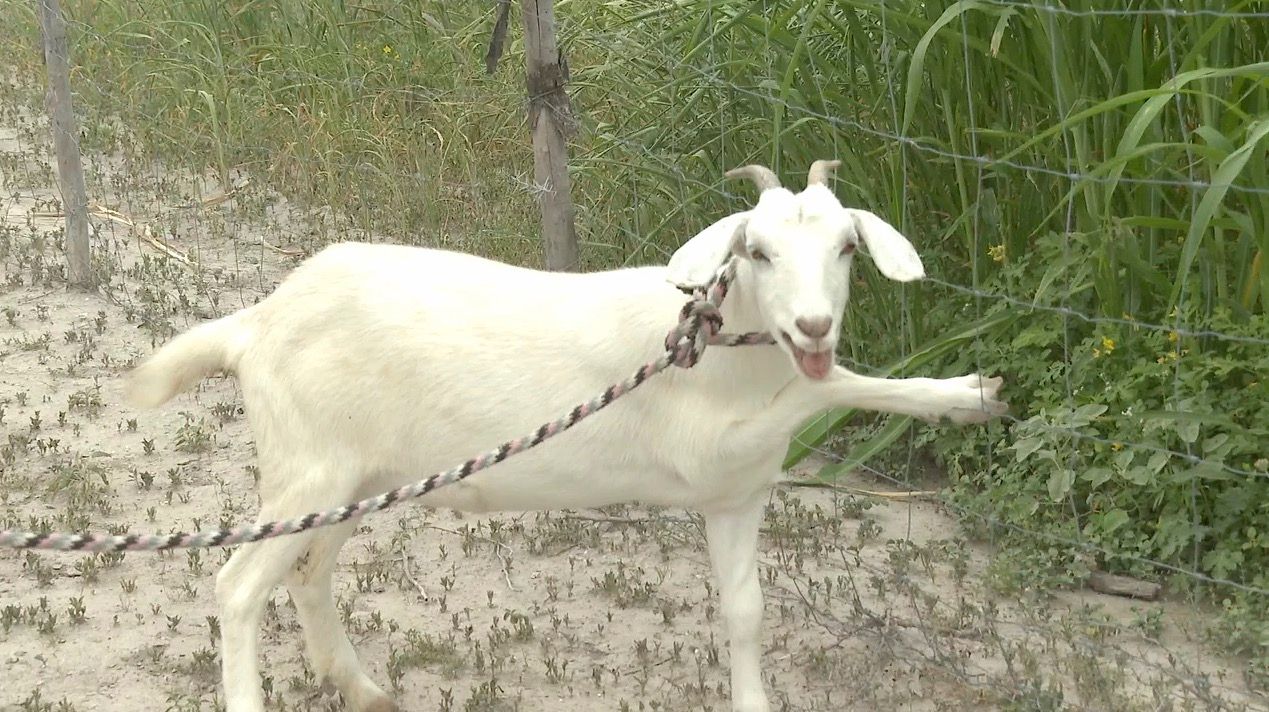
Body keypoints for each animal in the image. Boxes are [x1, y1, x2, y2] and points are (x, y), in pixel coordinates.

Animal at [122, 160, 1007, 712]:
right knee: (238, 585)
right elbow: (832, 387)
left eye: (847, 247)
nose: (814, 325)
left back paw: (363, 688)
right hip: (308, 472)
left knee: (307, 572)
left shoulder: (737, 494)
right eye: (756, 251)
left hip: (354, 478)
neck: (723, 345)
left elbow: (745, 613)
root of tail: (257, 323)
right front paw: (964, 395)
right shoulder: (708, 447)